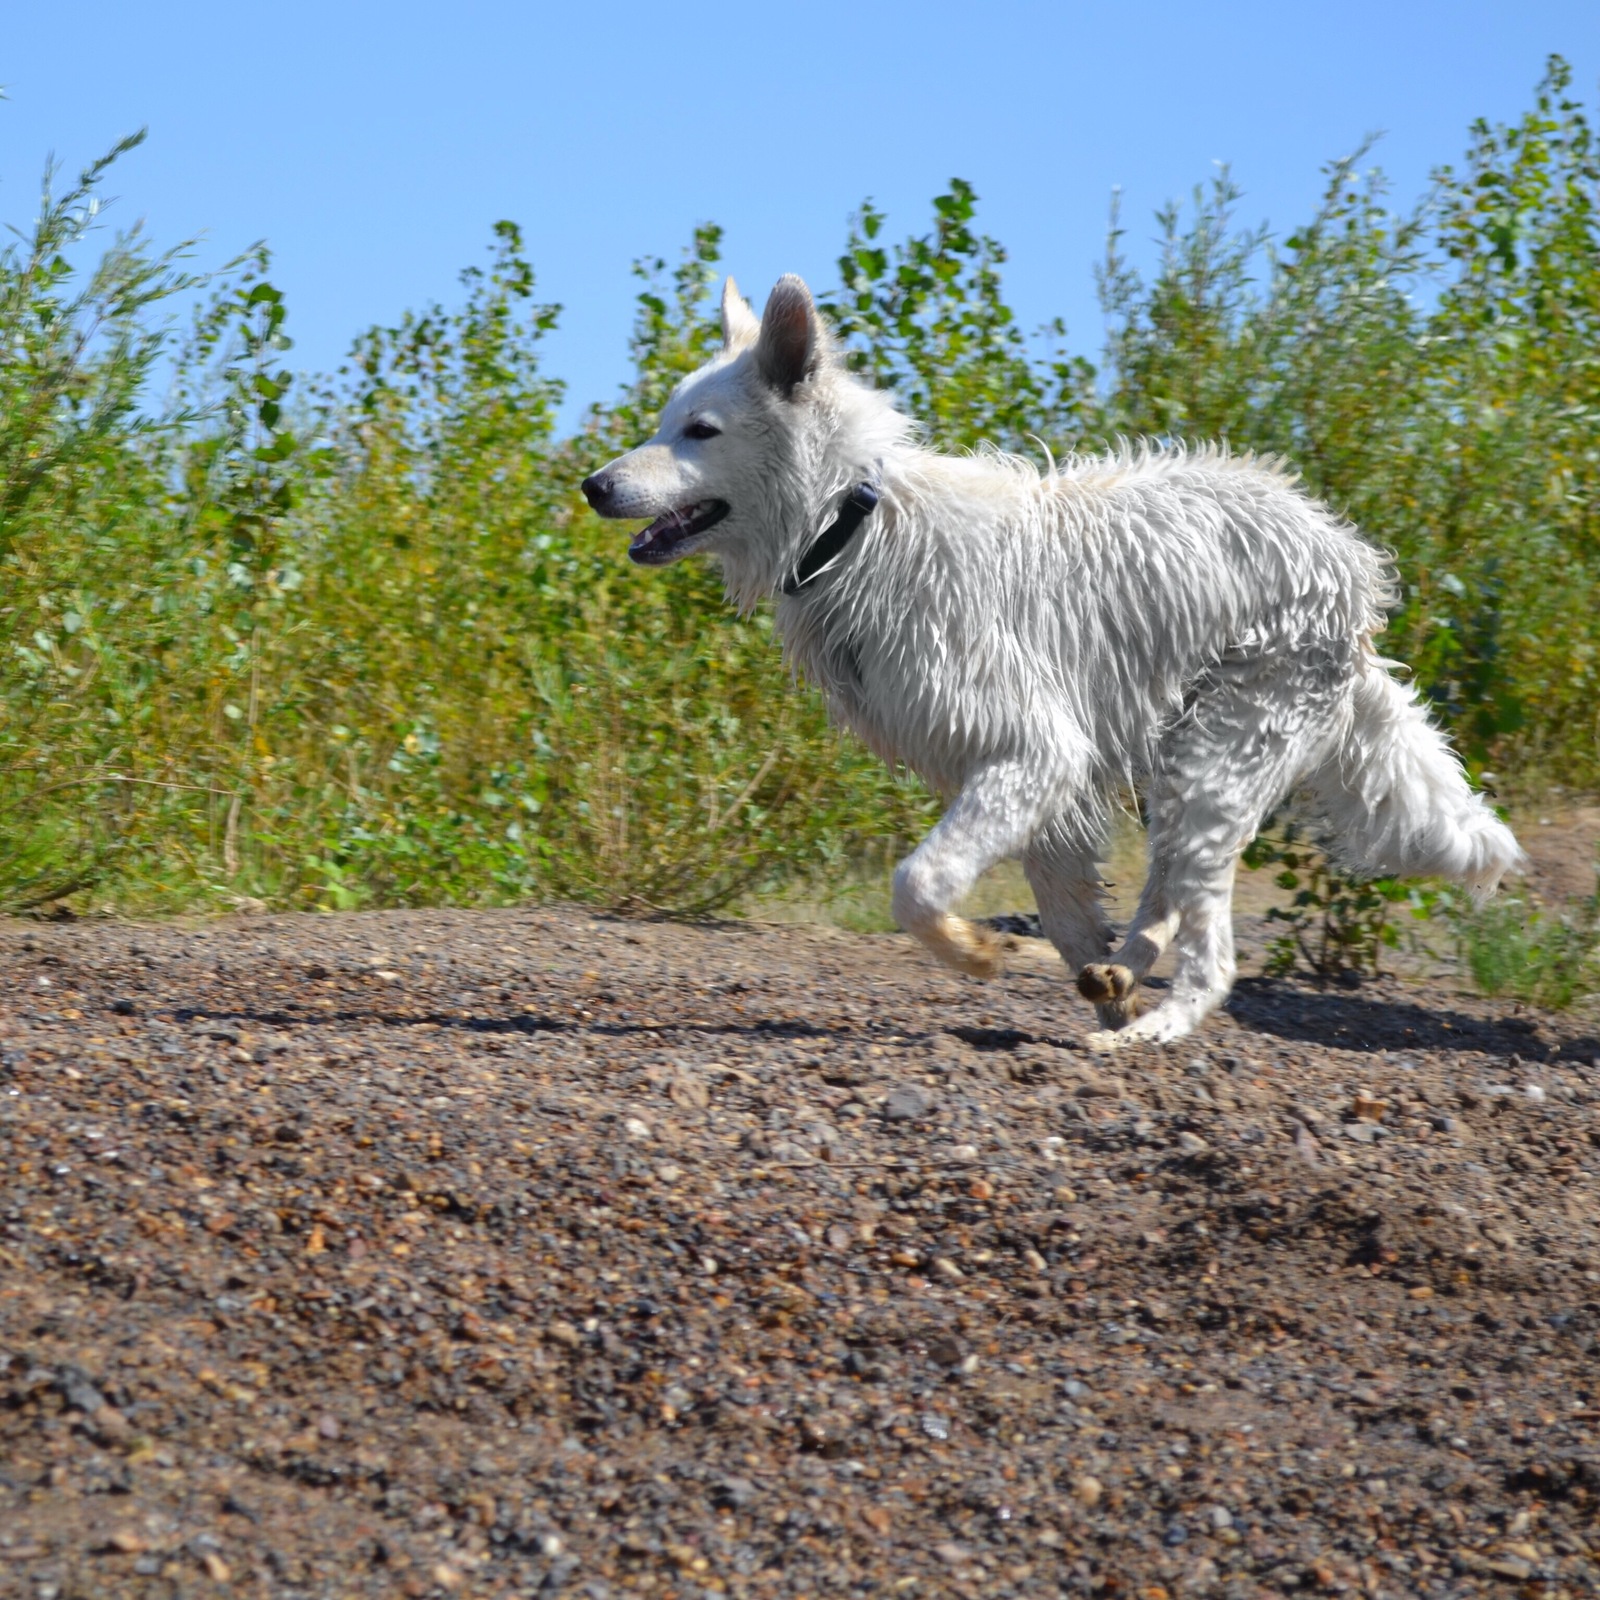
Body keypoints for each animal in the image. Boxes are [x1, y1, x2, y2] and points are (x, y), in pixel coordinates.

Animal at [588, 275, 1523, 1049]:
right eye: (667, 423)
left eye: (700, 432)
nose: (593, 485)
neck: (851, 525)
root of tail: (1349, 570)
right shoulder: (1045, 790)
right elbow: (1069, 920)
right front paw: (1089, 979)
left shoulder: (1035, 755)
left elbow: (917, 884)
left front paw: (976, 954)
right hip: (1186, 765)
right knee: (1170, 893)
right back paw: (1129, 975)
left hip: (1218, 754)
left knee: (1215, 953)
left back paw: (1149, 1034)